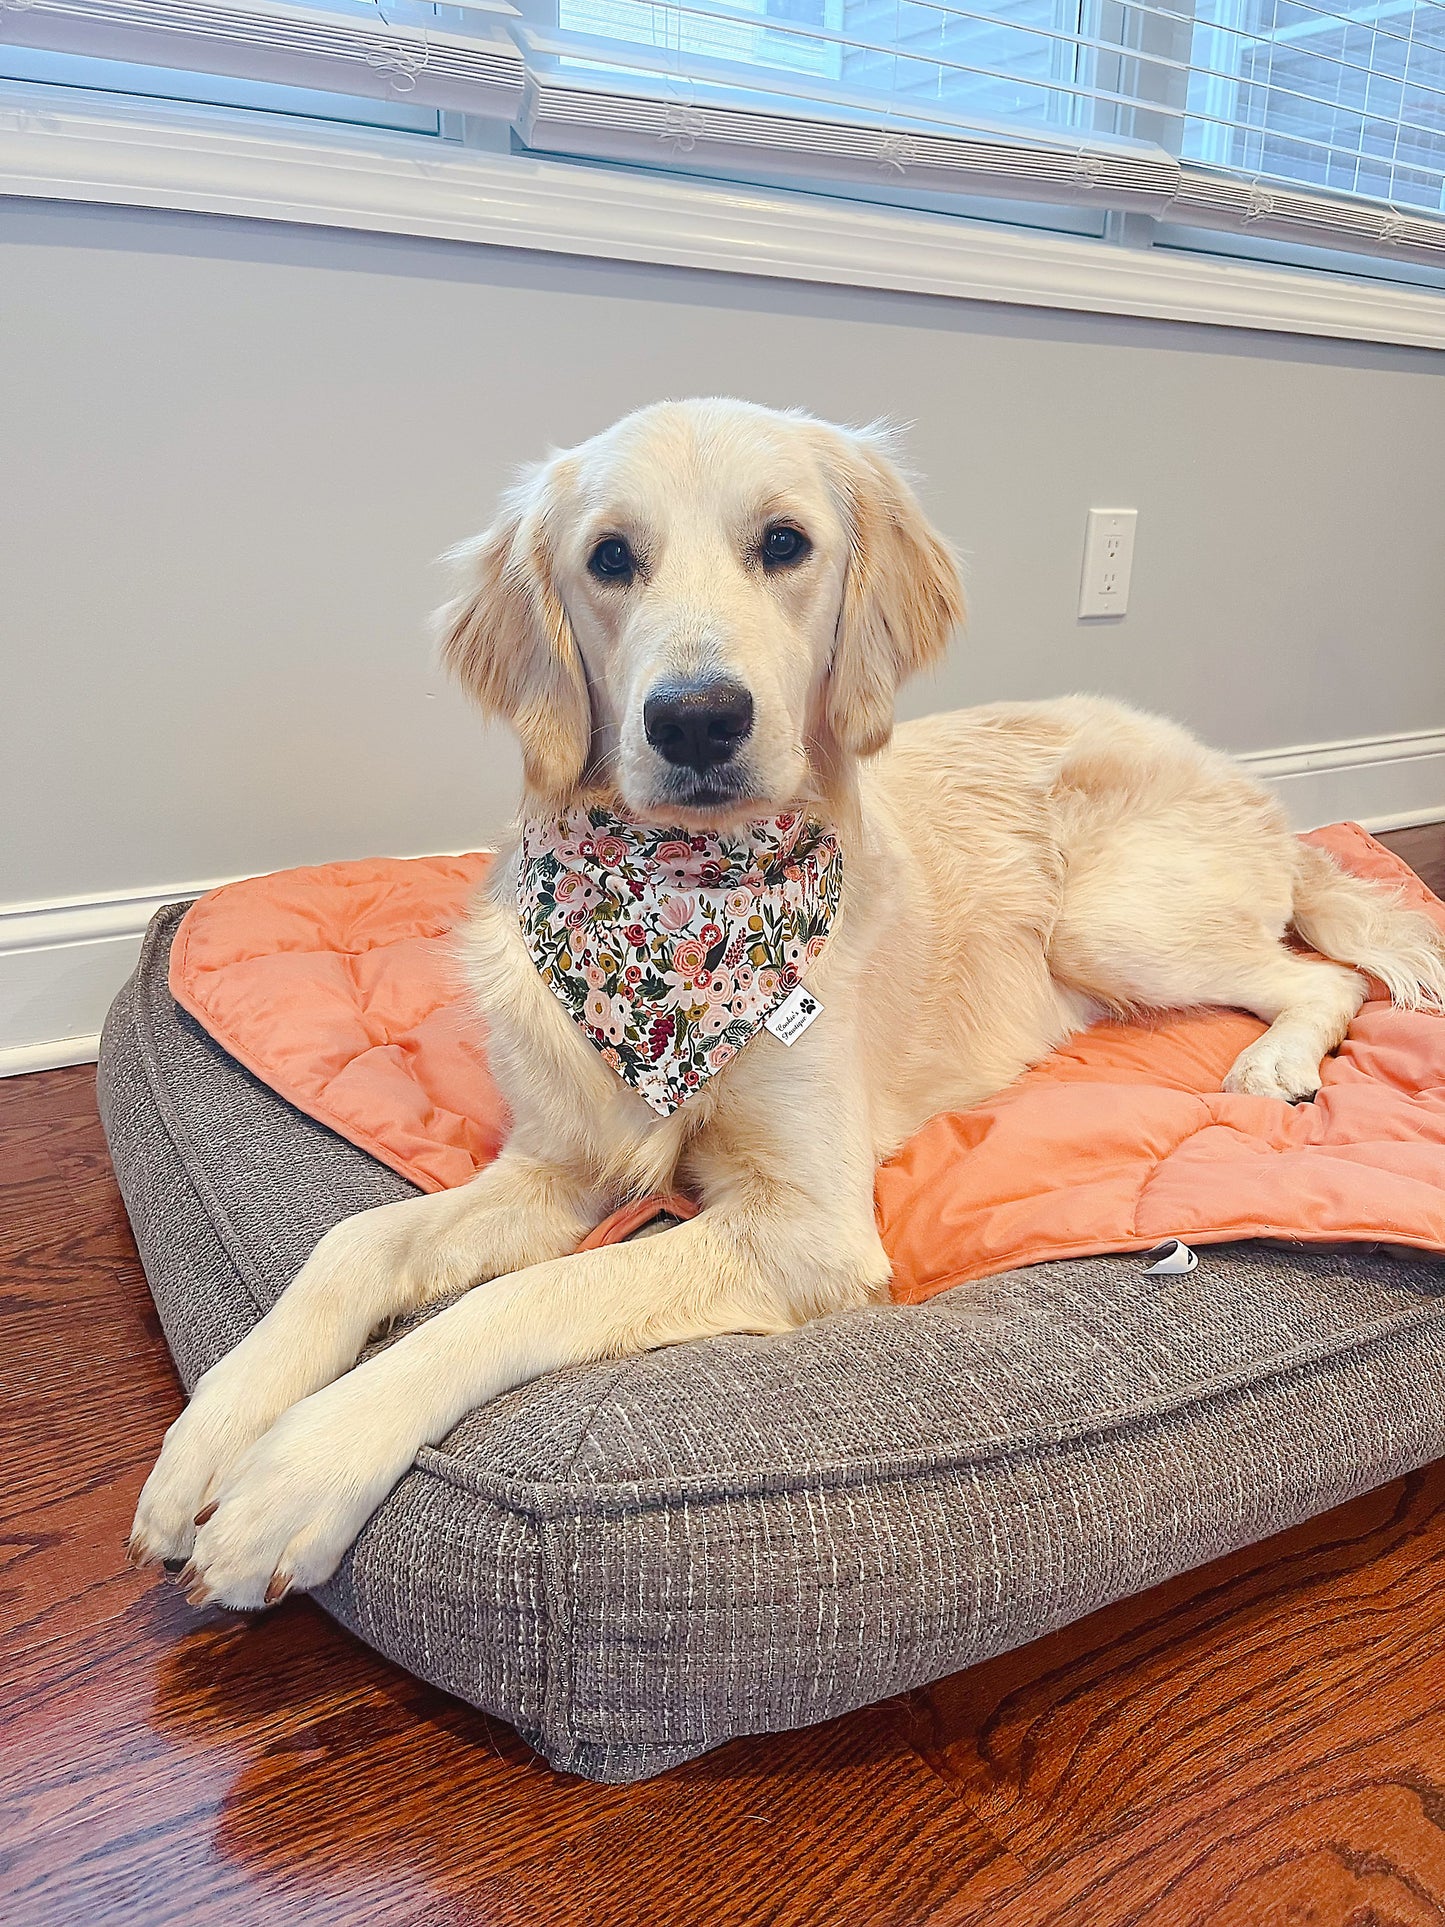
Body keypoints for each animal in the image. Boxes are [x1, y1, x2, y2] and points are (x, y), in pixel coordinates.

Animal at [130, 395, 1441, 1610]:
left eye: (783, 542)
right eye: (609, 557)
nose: (696, 718)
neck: (679, 923)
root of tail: (1253, 788)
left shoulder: (806, 1225)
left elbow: (521, 1296)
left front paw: (299, 1471)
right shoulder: (559, 1162)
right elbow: (353, 1242)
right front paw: (215, 1431)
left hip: (1112, 920)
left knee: (1321, 973)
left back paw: (1275, 1063)